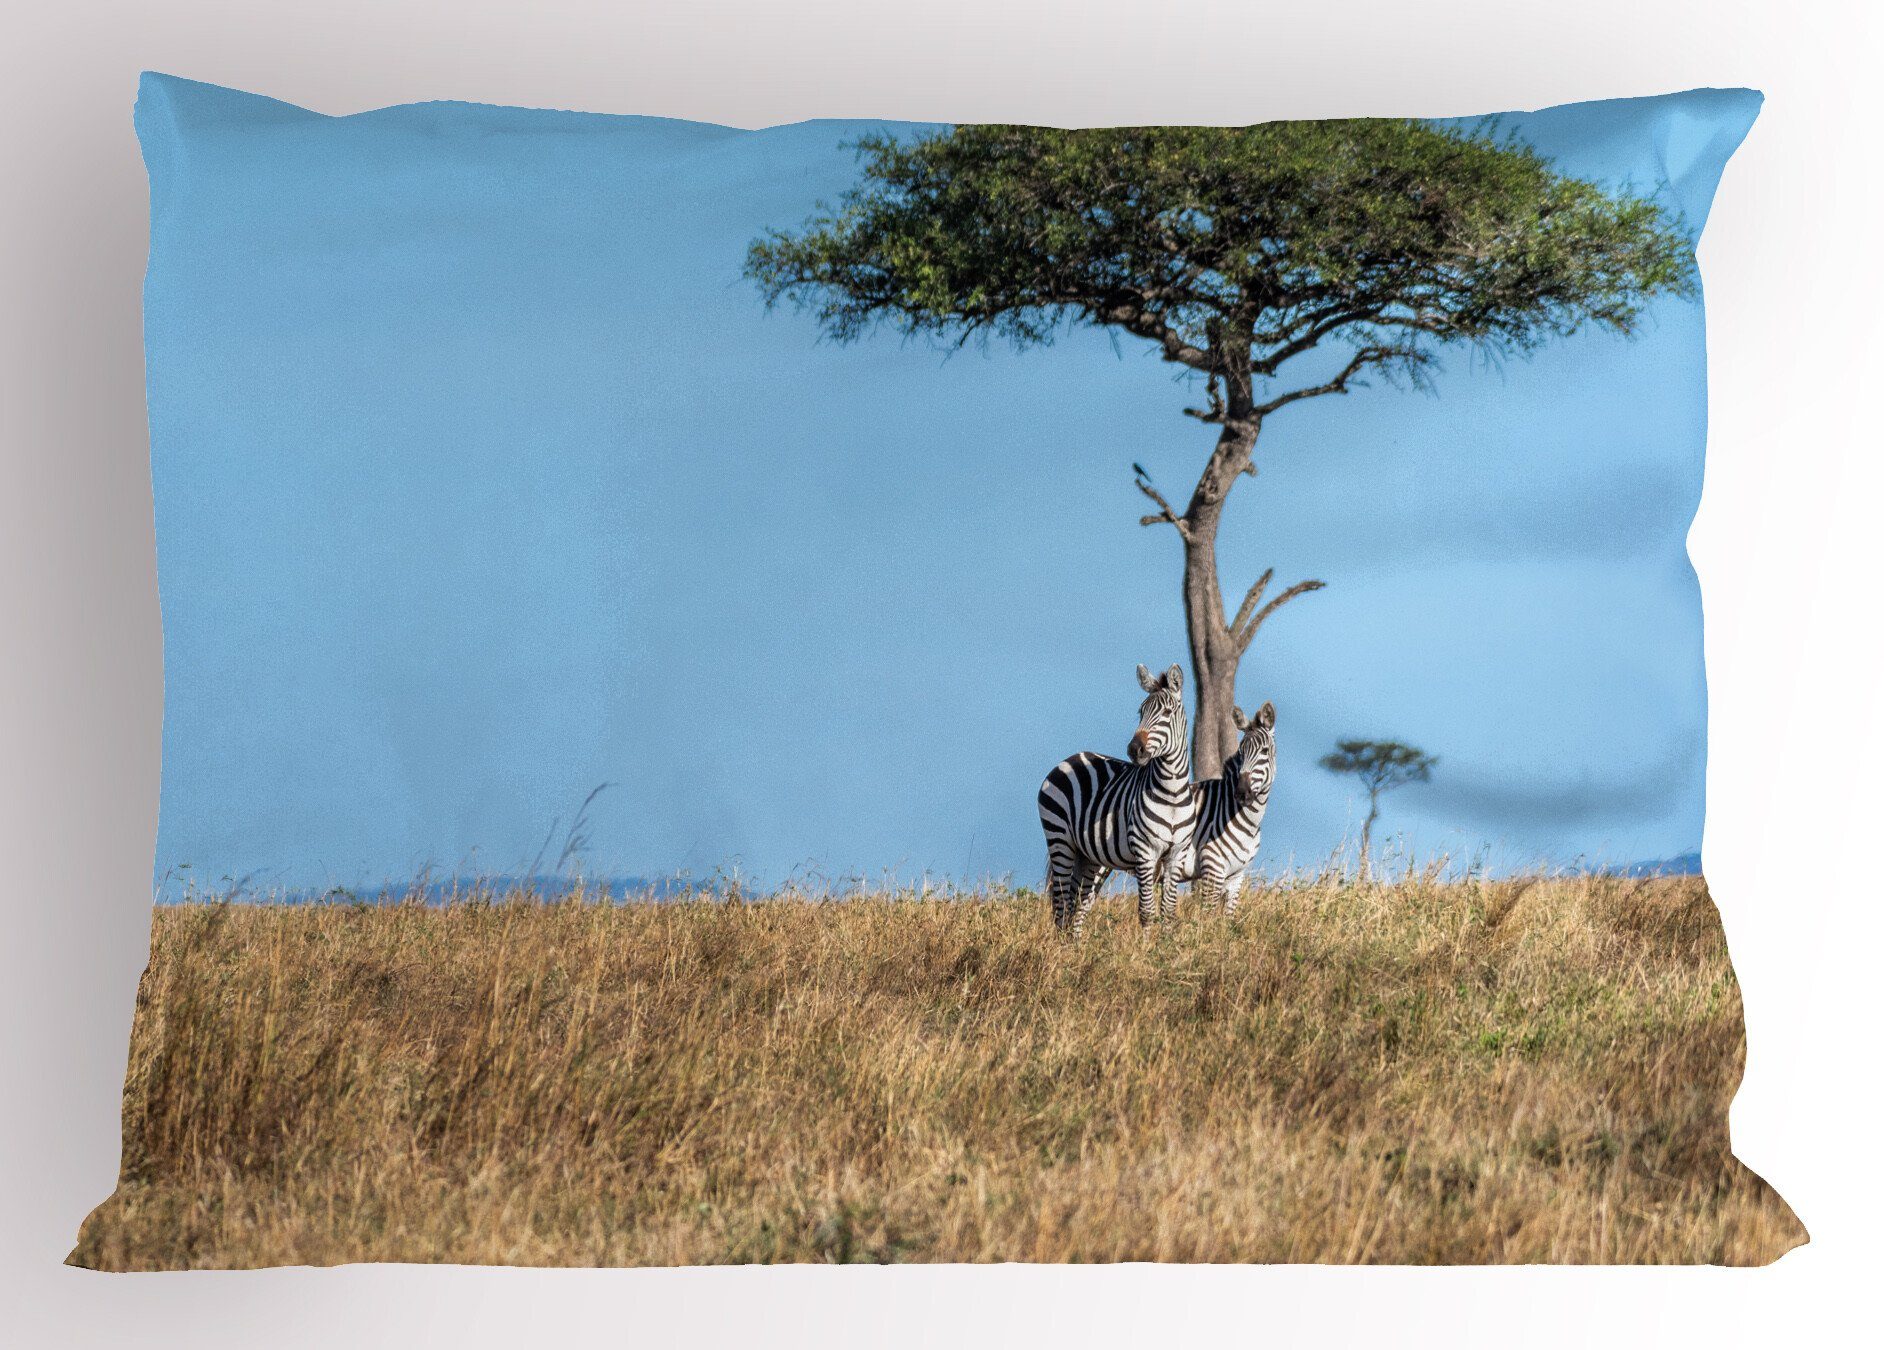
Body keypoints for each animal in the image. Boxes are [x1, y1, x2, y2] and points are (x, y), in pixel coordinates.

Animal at [1039, 662, 1198, 933]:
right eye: (1141, 711)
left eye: (1167, 712)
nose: (1135, 750)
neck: (1173, 794)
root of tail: (1071, 758)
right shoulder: (1145, 853)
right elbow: (1146, 912)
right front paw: (1146, 945)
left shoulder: (1176, 854)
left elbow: (1168, 912)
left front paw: (1167, 944)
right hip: (1060, 840)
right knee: (1061, 904)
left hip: (1090, 856)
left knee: (1077, 904)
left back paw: (1073, 944)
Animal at [1183, 700, 1273, 911]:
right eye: (1241, 752)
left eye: (1264, 751)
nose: (1241, 793)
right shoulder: (1212, 867)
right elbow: (1206, 915)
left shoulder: (1236, 875)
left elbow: (1229, 916)